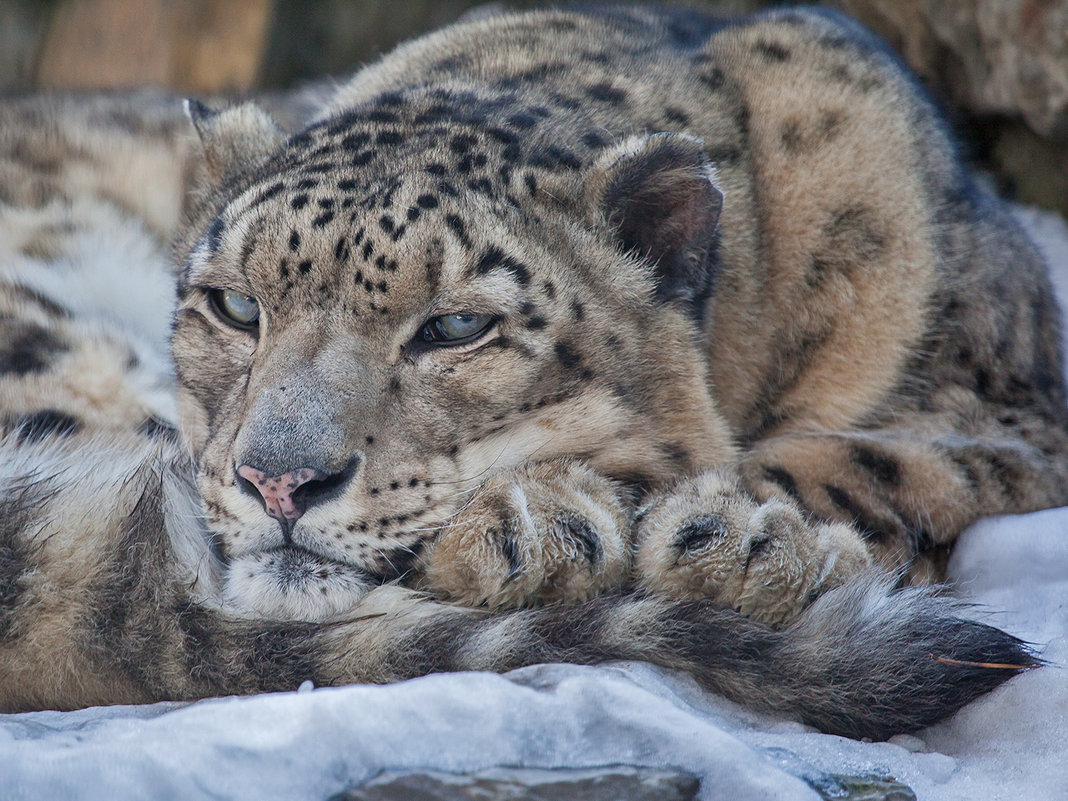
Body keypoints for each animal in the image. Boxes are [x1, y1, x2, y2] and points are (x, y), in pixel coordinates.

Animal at [0, 6, 1059, 739]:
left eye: (456, 326)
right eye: (236, 305)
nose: (279, 481)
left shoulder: (1009, 412)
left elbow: (874, 460)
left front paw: (744, 537)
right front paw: (541, 527)